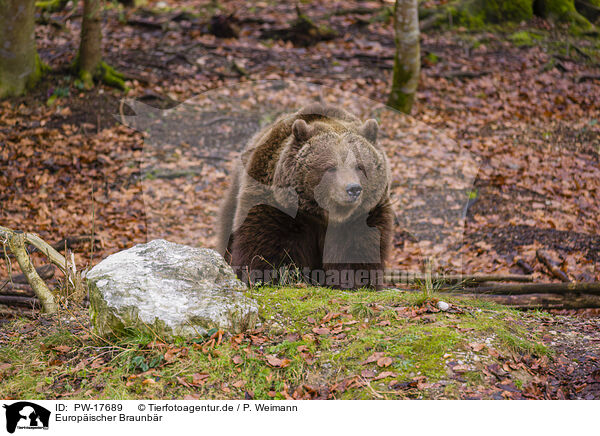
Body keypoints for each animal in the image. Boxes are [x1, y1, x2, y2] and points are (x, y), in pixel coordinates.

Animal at [217, 104, 394, 290]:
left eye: (359, 166)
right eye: (331, 167)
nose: (353, 189)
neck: (324, 216)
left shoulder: (364, 216)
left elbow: (358, 251)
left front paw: (355, 281)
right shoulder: (278, 207)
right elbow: (266, 248)